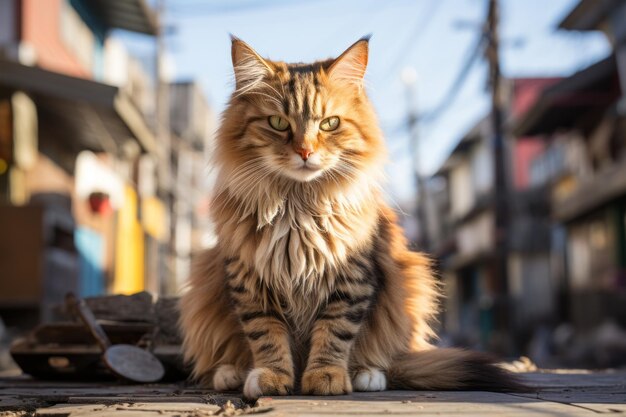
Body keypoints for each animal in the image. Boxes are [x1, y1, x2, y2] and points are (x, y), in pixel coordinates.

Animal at [178, 35, 520, 396]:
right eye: (278, 123)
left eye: (330, 123)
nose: (305, 152)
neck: (299, 207)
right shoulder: (251, 280)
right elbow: (265, 334)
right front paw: (272, 377)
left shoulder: (352, 277)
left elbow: (335, 331)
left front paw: (326, 377)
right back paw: (230, 373)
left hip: (410, 282)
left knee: (386, 357)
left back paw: (367, 375)